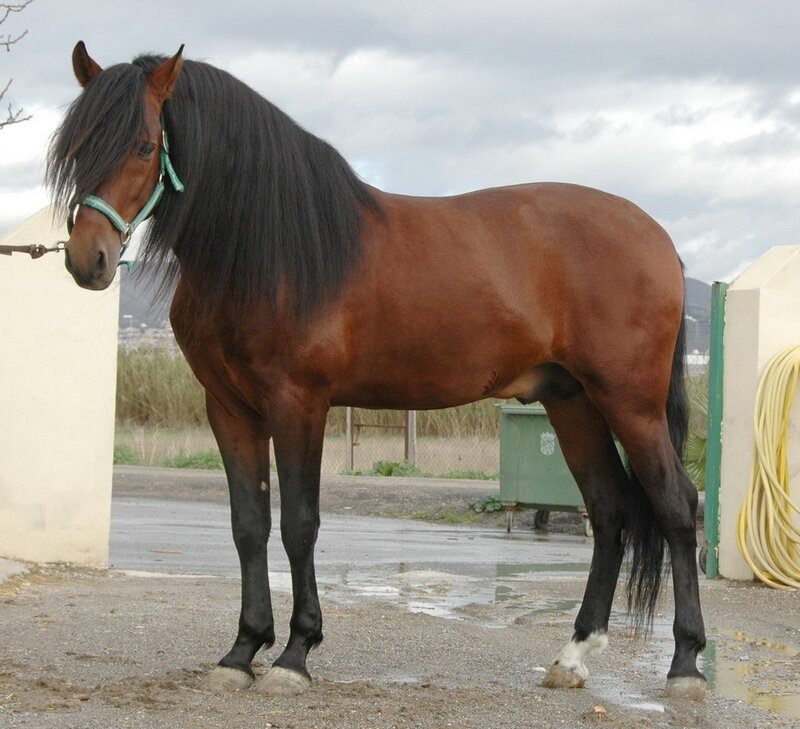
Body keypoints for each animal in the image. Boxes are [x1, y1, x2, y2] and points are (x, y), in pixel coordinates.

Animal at [48, 42, 707, 700]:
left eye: (143, 146)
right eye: (74, 146)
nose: (88, 260)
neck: (269, 249)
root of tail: (657, 237)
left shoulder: (299, 402)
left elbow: (300, 524)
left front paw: (294, 654)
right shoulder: (229, 407)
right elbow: (248, 526)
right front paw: (241, 651)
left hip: (630, 403)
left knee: (676, 506)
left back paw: (686, 665)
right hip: (572, 403)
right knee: (609, 510)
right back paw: (574, 655)